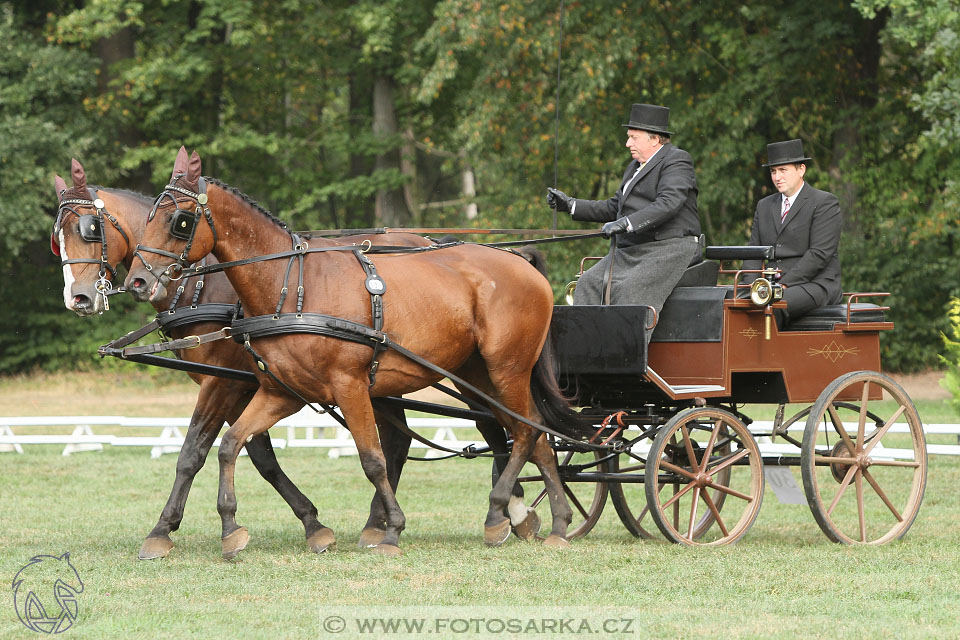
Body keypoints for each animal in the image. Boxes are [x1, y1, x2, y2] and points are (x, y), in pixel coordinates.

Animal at [123, 148, 580, 556]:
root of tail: (519, 260)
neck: (291, 287)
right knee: (531, 434)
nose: (138, 282)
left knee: (526, 431)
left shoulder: (346, 385)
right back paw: (555, 522)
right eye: (148, 218)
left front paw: (392, 530)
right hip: (477, 374)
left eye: (179, 221)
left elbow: (371, 458)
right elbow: (231, 445)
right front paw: (231, 528)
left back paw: (503, 510)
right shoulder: (280, 392)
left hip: (507, 369)